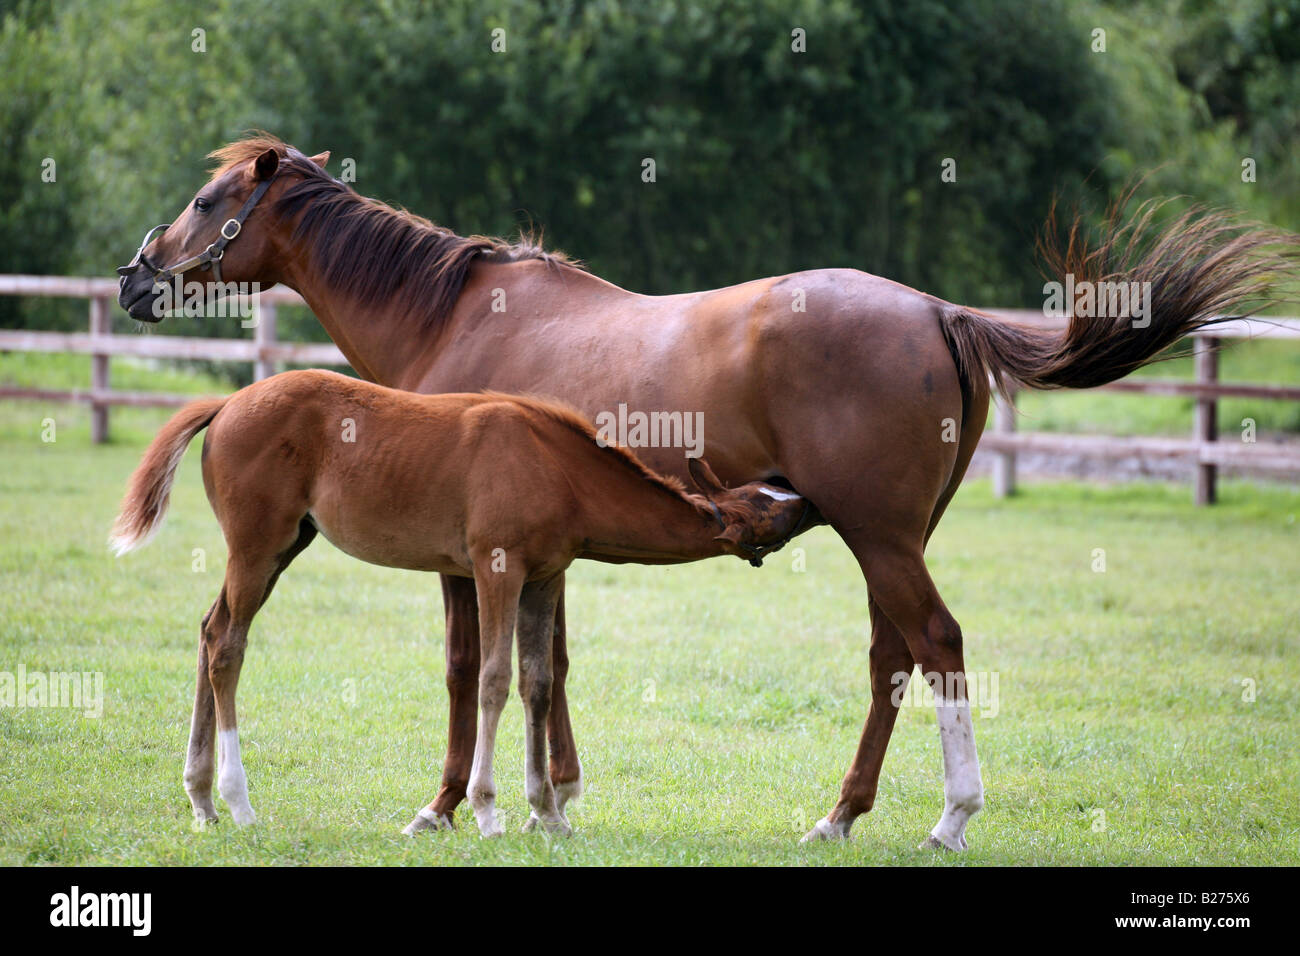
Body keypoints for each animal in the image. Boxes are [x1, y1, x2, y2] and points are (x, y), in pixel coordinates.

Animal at [111, 369, 806, 832]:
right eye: (768, 508)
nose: (805, 495)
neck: (559, 466)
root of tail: (228, 402)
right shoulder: (497, 569)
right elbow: (493, 680)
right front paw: (488, 811)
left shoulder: (543, 577)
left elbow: (537, 681)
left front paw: (549, 815)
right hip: (257, 546)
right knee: (228, 646)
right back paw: (238, 802)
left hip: (285, 545)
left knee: (210, 630)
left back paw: (201, 799)